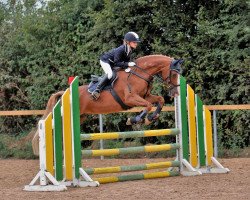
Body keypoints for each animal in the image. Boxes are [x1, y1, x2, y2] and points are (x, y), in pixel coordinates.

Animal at [32, 54, 183, 155]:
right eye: (174, 74)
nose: (176, 92)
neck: (139, 74)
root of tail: (66, 92)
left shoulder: (146, 96)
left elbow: (159, 100)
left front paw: (151, 118)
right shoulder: (130, 98)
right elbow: (147, 105)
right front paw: (135, 119)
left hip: (81, 116)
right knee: (49, 124)